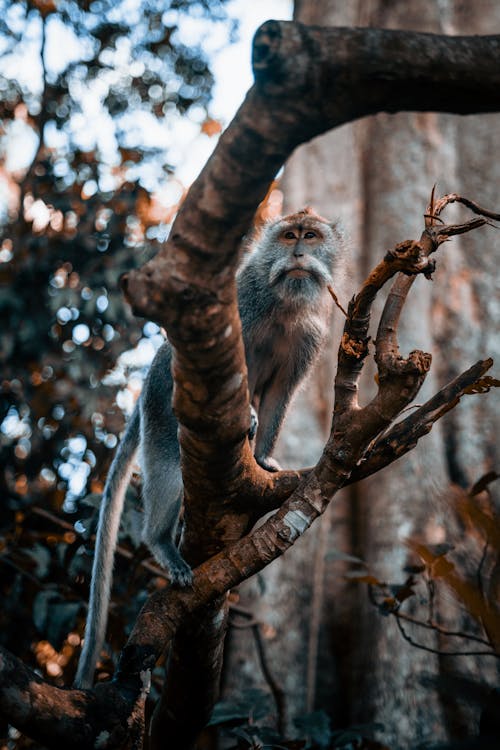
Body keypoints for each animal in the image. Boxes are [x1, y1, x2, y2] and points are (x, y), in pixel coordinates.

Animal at [74, 209, 342, 692]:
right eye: (289, 236)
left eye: (311, 236)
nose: (298, 253)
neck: (284, 301)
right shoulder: (244, 301)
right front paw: (249, 420)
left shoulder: (310, 336)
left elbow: (280, 395)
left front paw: (263, 457)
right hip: (163, 405)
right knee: (169, 467)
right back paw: (162, 542)